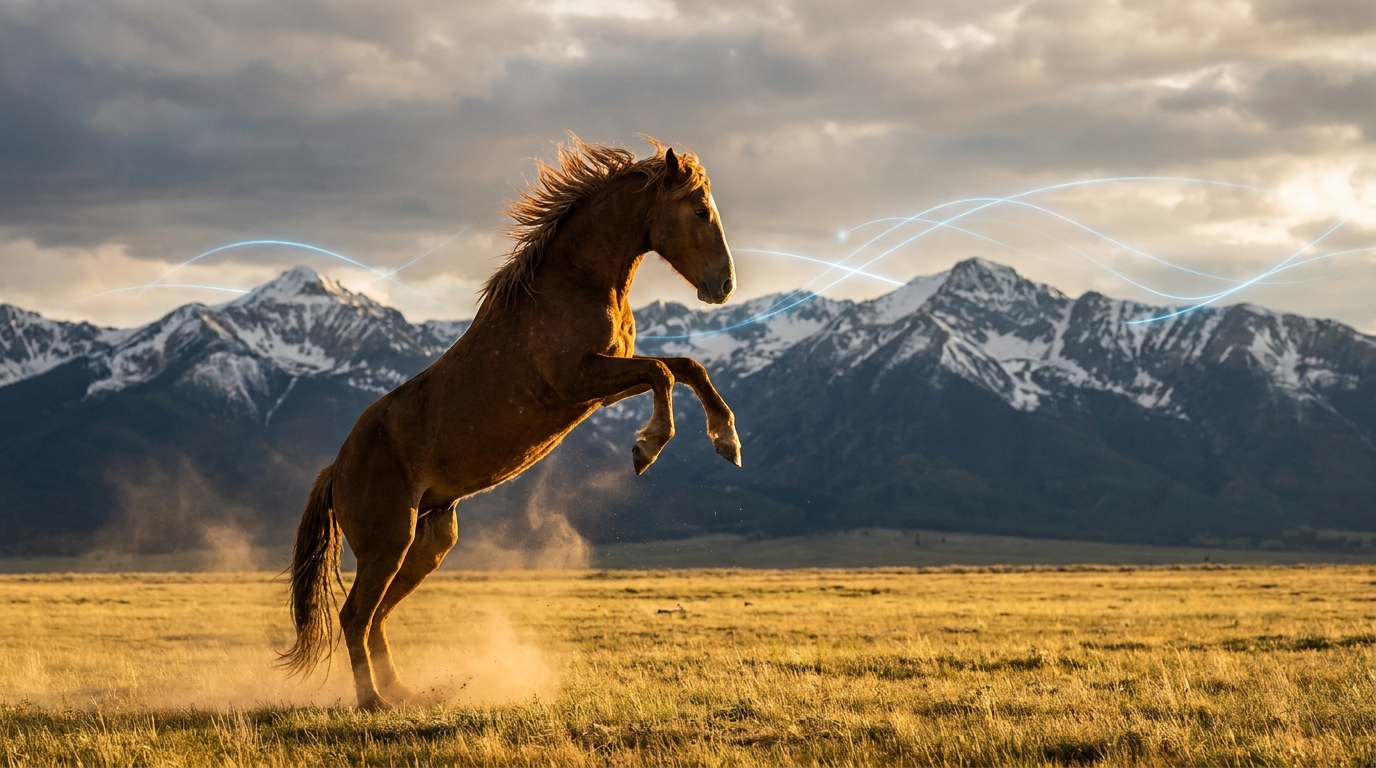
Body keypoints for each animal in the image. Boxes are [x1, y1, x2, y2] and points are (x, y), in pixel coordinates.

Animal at [279, 136, 742, 710]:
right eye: (699, 210)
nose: (724, 286)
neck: (575, 282)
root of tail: (335, 470)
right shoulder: (578, 380)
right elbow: (664, 372)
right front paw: (647, 448)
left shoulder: (604, 387)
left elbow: (684, 367)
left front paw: (726, 440)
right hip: (388, 541)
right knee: (355, 616)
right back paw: (373, 702)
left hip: (428, 541)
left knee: (377, 617)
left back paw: (403, 692)